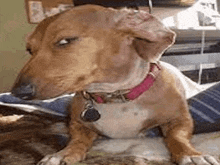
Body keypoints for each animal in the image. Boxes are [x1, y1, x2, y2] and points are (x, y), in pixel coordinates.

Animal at [11, 4, 219, 164]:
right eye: (29, 50)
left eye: (65, 41)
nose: (18, 92)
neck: (115, 96)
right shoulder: (78, 125)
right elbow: (77, 141)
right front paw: (64, 153)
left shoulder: (179, 119)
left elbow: (177, 137)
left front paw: (191, 155)